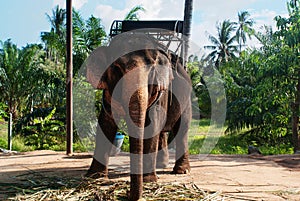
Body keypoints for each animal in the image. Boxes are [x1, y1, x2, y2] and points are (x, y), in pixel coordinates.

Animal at [84, 33, 192, 201]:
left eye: (152, 70)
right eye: (117, 68)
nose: (127, 193)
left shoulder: (161, 90)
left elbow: (152, 124)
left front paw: (149, 180)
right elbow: (105, 122)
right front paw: (95, 177)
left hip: (187, 101)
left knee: (182, 130)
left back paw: (181, 171)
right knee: (162, 132)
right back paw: (161, 165)